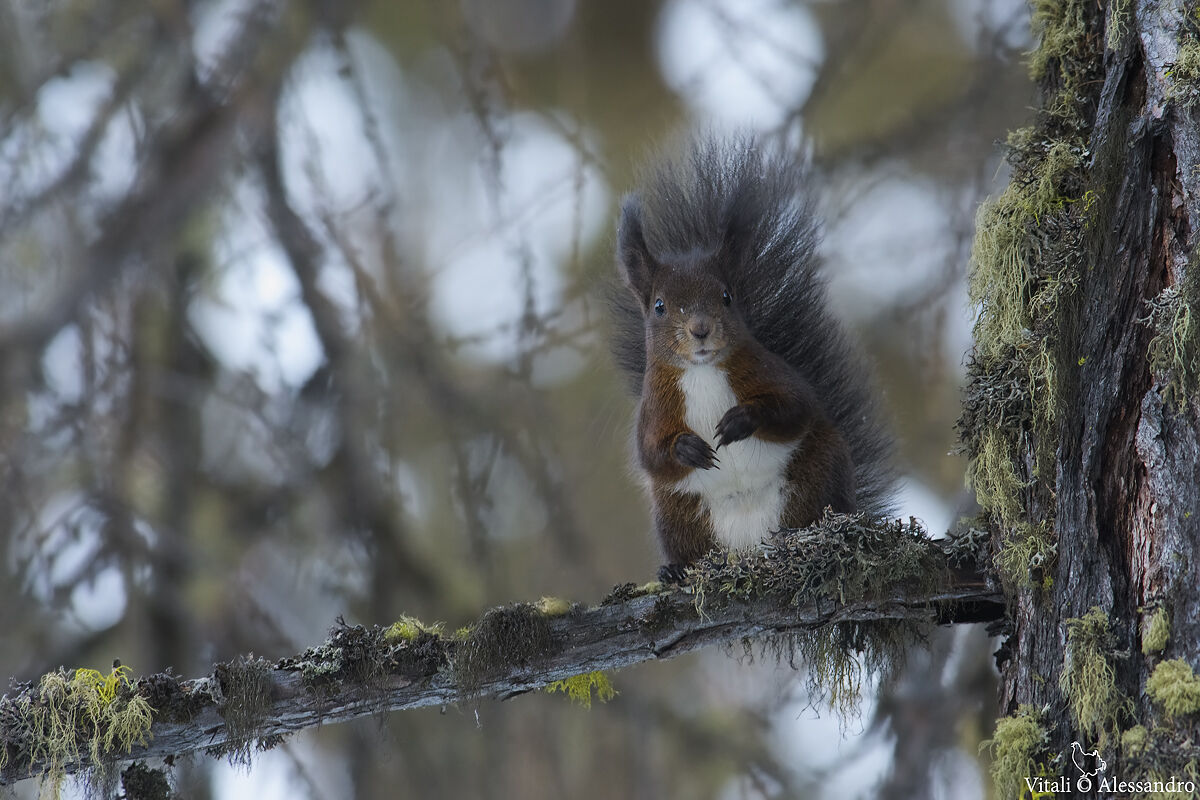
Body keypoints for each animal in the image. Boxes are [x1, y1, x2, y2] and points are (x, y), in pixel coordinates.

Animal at [611, 136, 896, 580]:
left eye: (727, 296)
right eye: (659, 306)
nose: (700, 329)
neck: (703, 372)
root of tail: (748, 546)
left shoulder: (771, 373)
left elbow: (794, 407)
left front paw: (741, 421)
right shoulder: (654, 407)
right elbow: (651, 451)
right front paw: (687, 449)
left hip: (818, 472)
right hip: (678, 513)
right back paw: (675, 570)